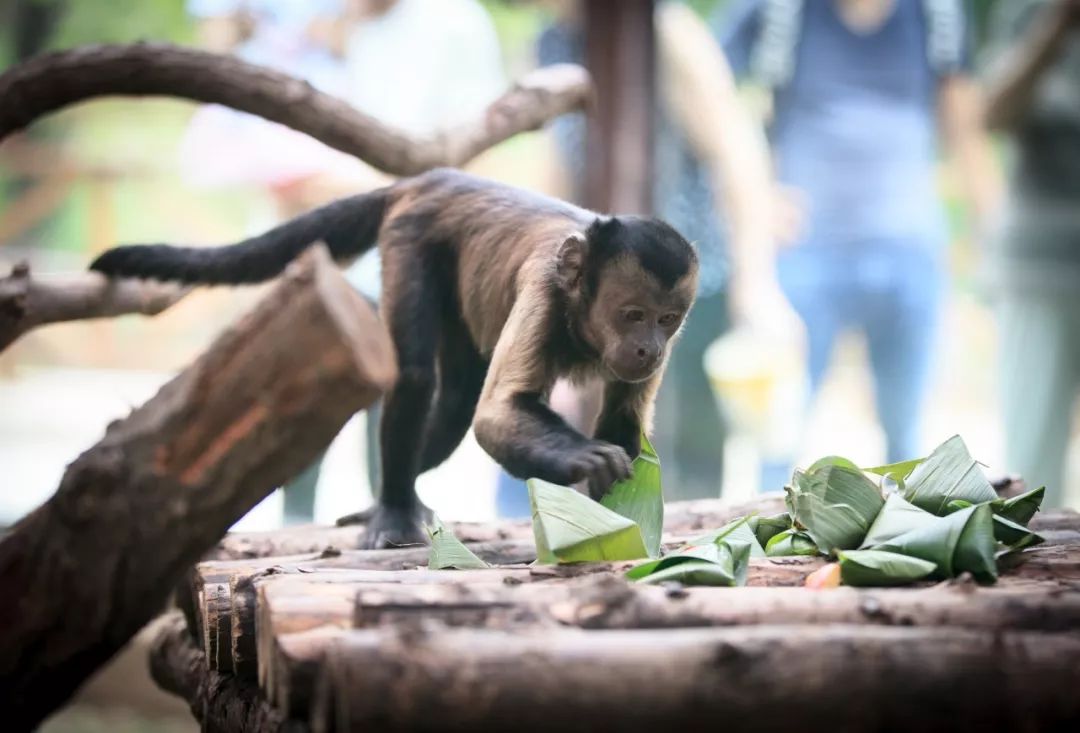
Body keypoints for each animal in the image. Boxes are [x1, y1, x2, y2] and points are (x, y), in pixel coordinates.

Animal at [90, 169, 699, 548]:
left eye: (667, 320)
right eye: (632, 314)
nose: (649, 348)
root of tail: (433, 178)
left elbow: (620, 422)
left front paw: (621, 507)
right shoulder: (544, 292)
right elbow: (497, 416)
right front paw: (587, 461)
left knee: (452, 407)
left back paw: (384, 499)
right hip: (412, 237)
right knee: (416, 379)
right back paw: (393, 508)